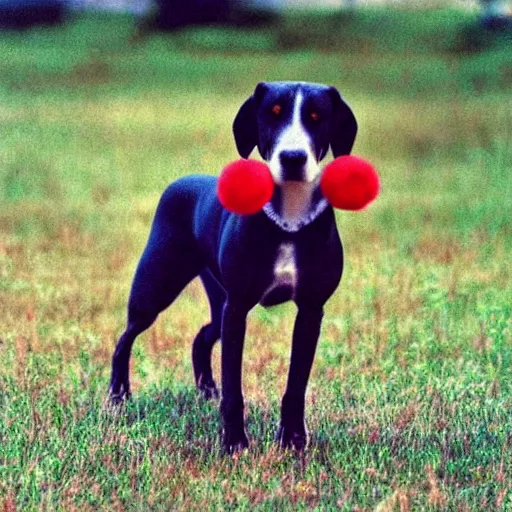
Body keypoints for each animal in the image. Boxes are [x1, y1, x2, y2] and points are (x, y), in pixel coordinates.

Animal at [109, 80, 356, 452]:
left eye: (317, 116)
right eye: (272, 113)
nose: (292, 157)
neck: (289, 216)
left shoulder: (310, 310)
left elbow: (296, 384)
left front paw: (292, 441)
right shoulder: (238, 306)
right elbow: (234, 386)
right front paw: (234, 443)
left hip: (217, 297)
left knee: (202, 336)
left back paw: (206, 391)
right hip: (156, 285)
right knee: (126, 337)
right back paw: (118, 396)